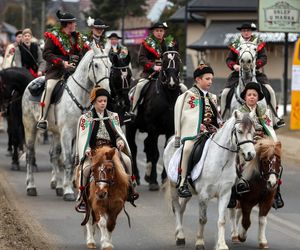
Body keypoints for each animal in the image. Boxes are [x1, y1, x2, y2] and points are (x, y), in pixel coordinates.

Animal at [125, 49, 183, 189]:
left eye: (178, 61)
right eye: (164, 62)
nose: (172, 83)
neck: (168, 99)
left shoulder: (170, 130)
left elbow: (164, 152)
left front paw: (164, 178)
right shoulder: (153, 128)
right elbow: (154, 153)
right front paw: (153, 180)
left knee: (146, 144)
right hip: (131, 127)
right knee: (134, 148)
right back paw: (137, 177)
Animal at [163, 111, 256, 250]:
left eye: (253, 132)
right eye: (239, 131)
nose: (251, 154)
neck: (221, 162)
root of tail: (173, 140)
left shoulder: (225, 194)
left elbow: (221, 220)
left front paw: (221, 245)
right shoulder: (204, 195)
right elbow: (203, 219)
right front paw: (200, 242)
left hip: (189, 192)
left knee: (182, 207)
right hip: (173, 185)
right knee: (177, 207)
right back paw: (180, 236)